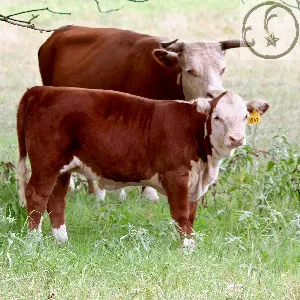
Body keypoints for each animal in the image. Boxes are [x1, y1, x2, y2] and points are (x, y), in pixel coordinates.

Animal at [17, 86, 270, 246]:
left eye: (245, 116)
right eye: (217, 117)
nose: (236, 138)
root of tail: (42, 90)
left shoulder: (195, 182)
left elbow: (191, 215)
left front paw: (191, 243)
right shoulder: (176, 175)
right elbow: (181, 214)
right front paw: (186, 248)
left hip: (62, 169)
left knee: (56, 200)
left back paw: (61, 240)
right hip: (46, 163)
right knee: (37, 196)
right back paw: (34, 240)